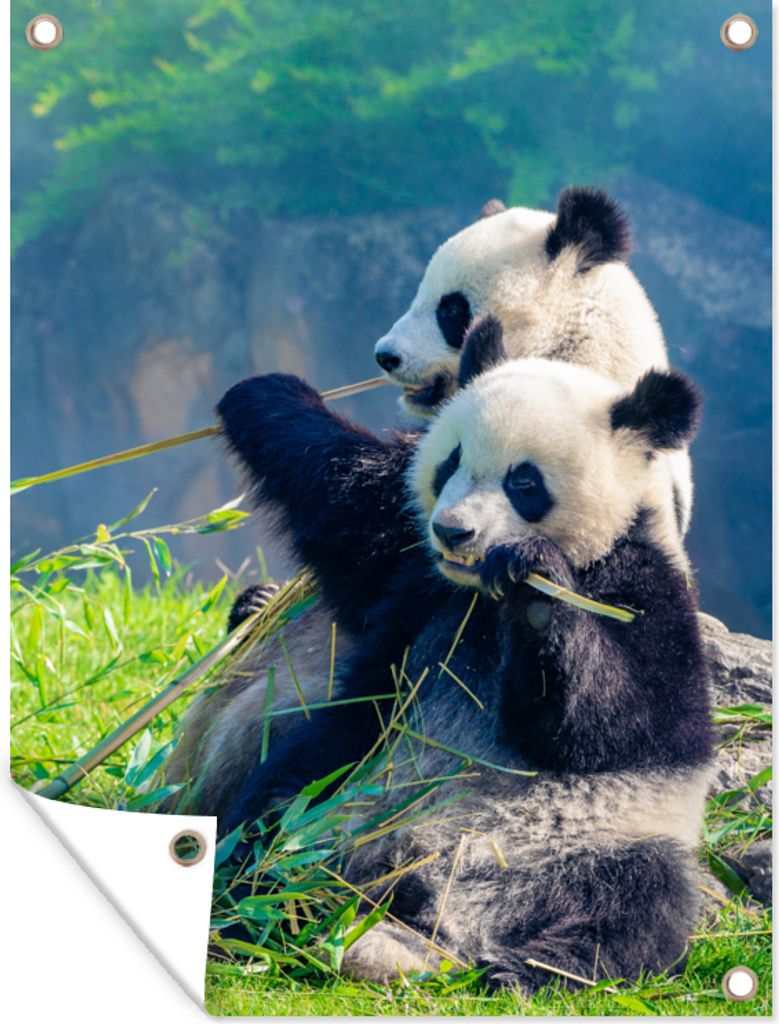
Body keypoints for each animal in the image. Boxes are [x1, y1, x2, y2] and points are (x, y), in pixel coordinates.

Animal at [214, 317, 713, 990]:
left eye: (524, 482)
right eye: (449, 461)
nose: (453, 532)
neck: (481, 596)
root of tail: (438, 913)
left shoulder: (645, 586)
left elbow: (621, 724)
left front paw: (536, 585)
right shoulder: (418, 585)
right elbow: (349, 511)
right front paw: (265, 394)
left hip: (602, 839)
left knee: (640, 905)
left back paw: (526, 967)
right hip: (345, 782)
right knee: (276, 812)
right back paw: (254, 904)